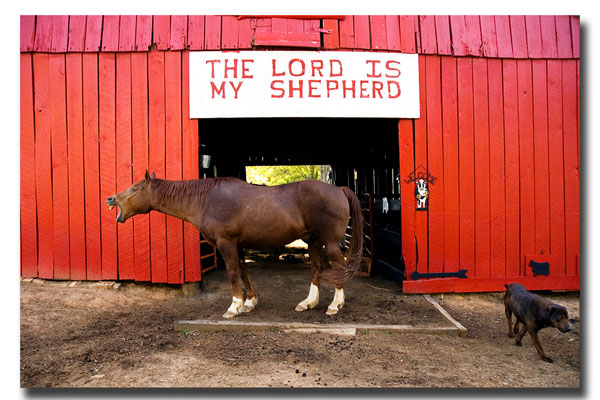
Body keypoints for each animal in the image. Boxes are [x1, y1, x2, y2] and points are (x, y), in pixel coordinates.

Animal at [106, 170, 364, 318]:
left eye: (134, 188)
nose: (110, 198)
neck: (206, 199)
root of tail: (338, 189)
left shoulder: (226, 243)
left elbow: (232, 273)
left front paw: (234, 306)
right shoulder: (238, 245)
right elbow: (243, 271)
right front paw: (250, 302)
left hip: (331, 243)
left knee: (339, 268)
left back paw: (335, 305)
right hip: (314, 242)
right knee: (316, 270)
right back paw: (308, 303)